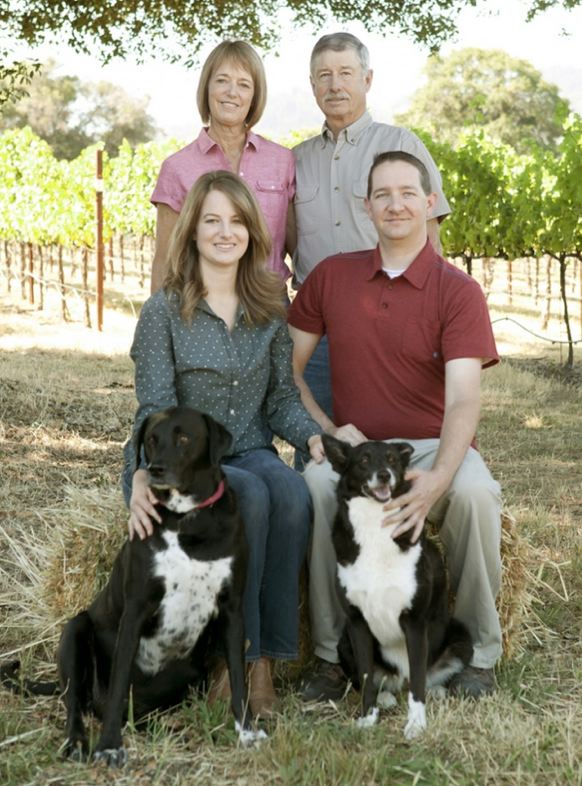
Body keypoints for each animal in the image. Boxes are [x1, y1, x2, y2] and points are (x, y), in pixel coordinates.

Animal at [2, 406, 265, 765]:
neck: (186, 521)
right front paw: (110, 745)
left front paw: (247, 732)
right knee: (76, 705)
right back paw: (77, 742)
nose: (155, 470)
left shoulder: (232, 610)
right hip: (75, 632)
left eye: (185, 438)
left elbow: (239, 676)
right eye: (152, 439)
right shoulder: (136, 610)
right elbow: (119, 682)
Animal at [322, 434, 473, 739]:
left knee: (424, 678)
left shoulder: (415, 622)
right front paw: (368, 717)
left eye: (392, 459)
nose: (384, 475)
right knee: (370, 679)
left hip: (460, 635)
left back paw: (437, 690)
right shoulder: (357, 622)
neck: (375, 529)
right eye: (363, 459)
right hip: (344, 642)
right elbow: (366, 676)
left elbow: (417, 682)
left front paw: (416, 724)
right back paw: (385, 697)